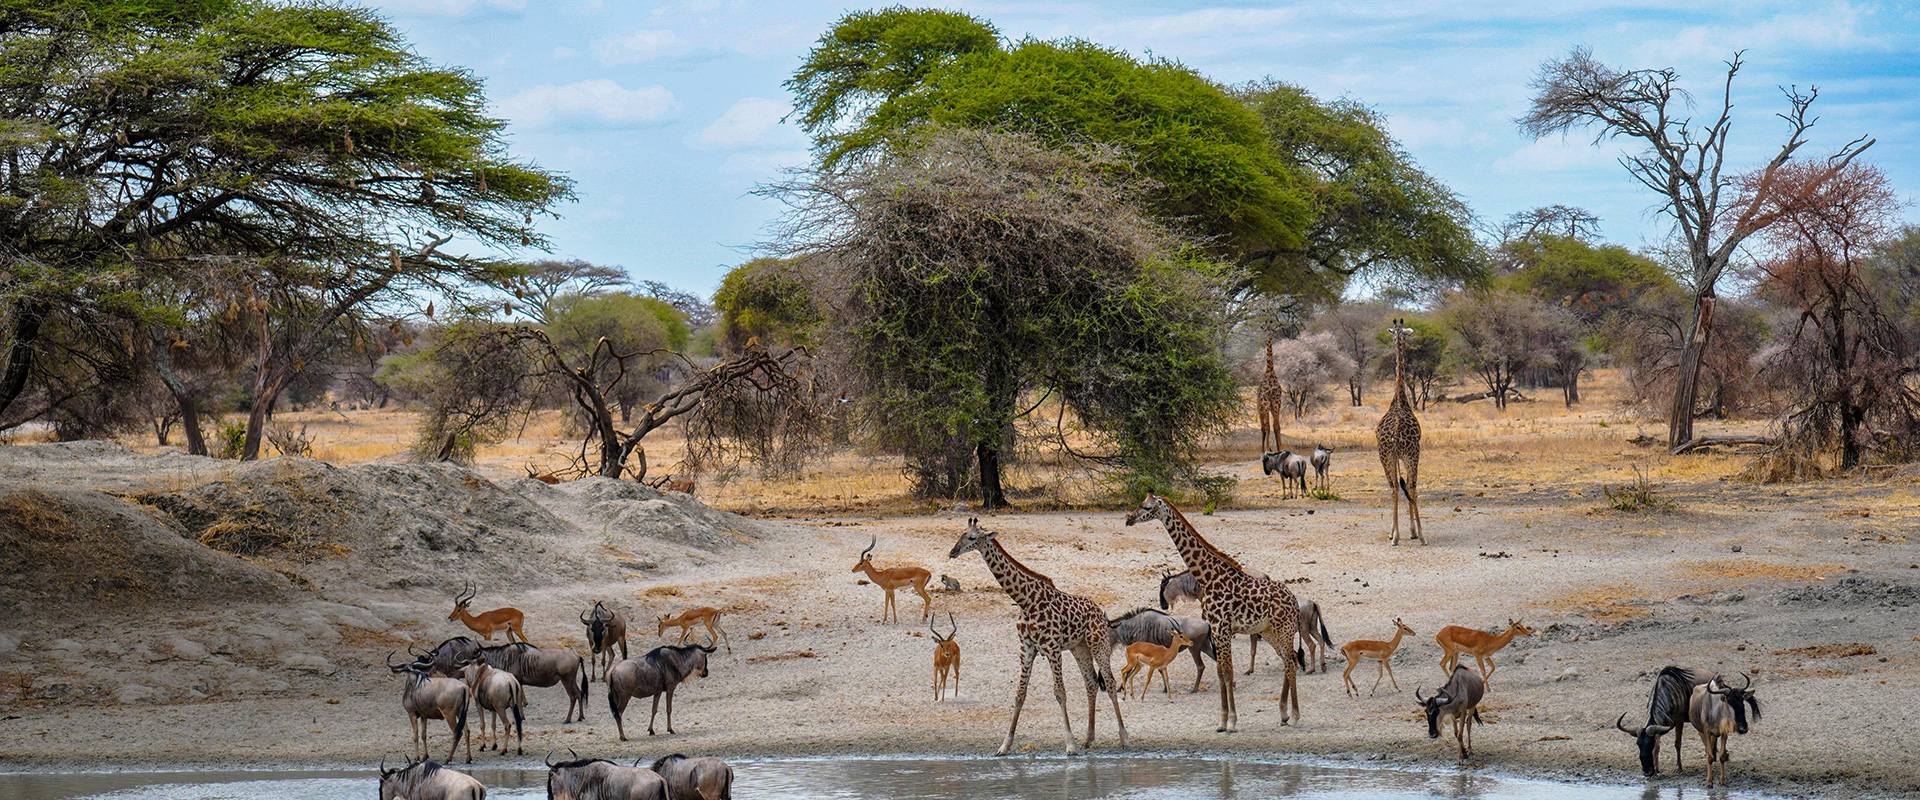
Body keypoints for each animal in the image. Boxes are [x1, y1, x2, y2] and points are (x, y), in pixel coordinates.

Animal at [949, 518, 1127, 755]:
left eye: (972, 537)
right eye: (960, 534)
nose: (952, 552)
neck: (1026, 601)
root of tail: (1100, 611)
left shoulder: (1052, 647)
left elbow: (1060, 692)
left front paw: (1070, 744)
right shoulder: (1026, 647)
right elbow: (1019, 694)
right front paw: (1004, 745)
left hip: (1098, 643)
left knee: (1109, 680)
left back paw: (1123, 737)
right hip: (1079, 648)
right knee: (1090, 682)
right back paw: (1088, 739)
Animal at [1124, 495, 1299, 732]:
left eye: (1147, 507)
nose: (1129, 519)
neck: (1208, 578)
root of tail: (1294, 601)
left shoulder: (1222, 628)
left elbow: (1227, 673)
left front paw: (1231, 721)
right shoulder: (1216, 629)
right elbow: (1220, 671)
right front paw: (1222, 721)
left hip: (1284, 629)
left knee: (1291, 661)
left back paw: (1295, 715)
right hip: (1270, 631)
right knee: (1289, 660)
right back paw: (1283, 714)